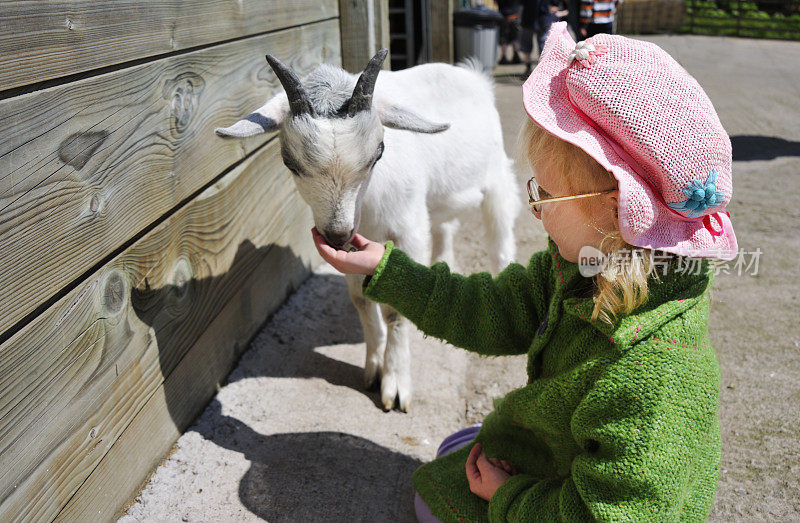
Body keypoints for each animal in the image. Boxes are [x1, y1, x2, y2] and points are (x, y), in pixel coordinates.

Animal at [217, 50, 520, 414]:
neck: (368, 203)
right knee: (445, 226)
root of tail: (472, 76)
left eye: (378, 153)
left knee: (500, 242)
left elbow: (395, 311)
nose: (336, 235)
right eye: (289, 162)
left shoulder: (407, 231)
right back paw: (442, 267)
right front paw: (374, 367)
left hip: (497, 180)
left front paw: (395, 385)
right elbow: (362, 300)